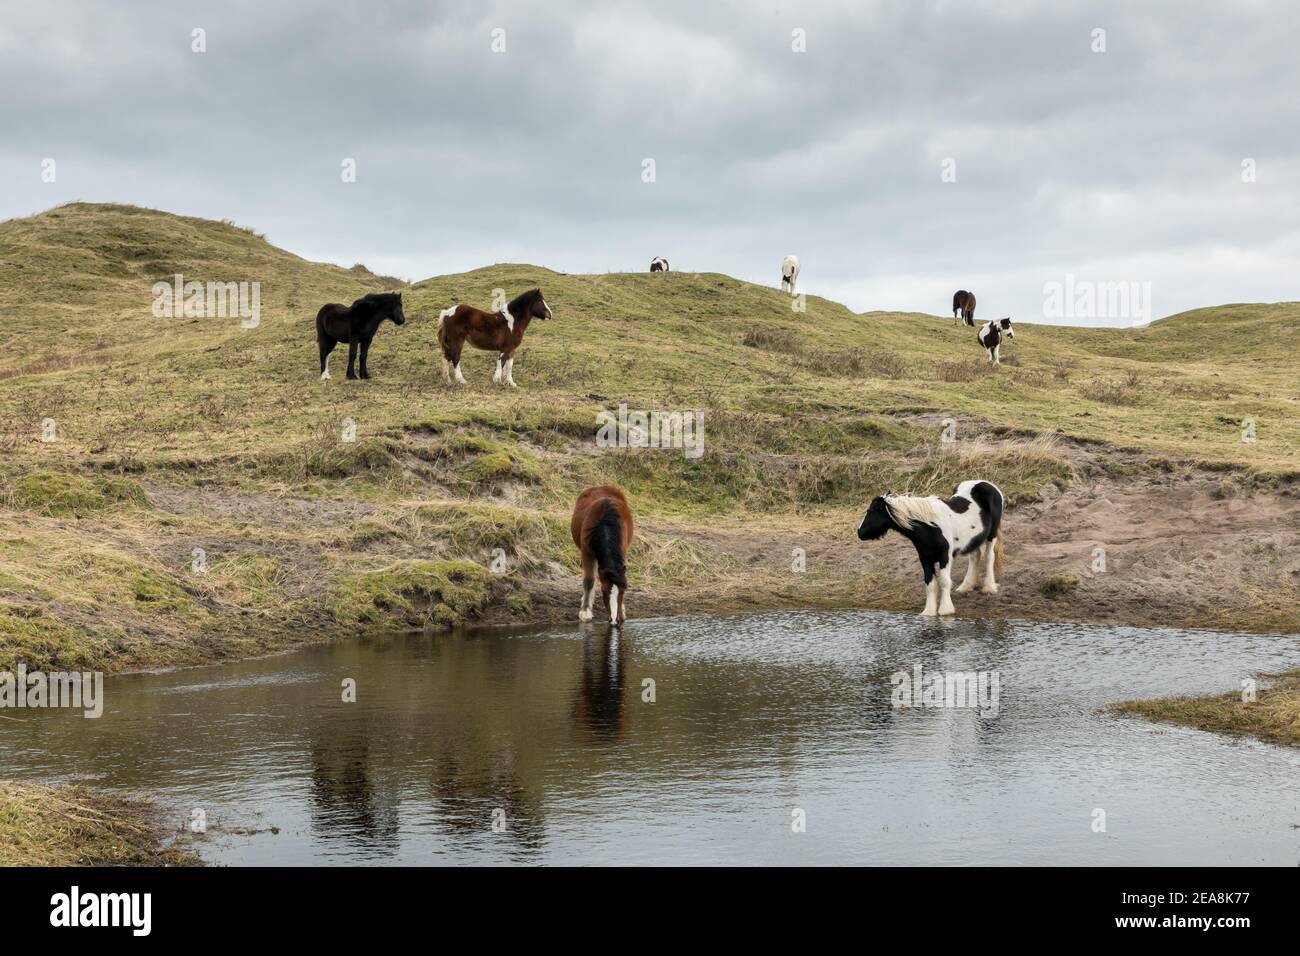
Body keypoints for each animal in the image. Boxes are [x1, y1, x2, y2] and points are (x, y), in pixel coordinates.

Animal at [569, 486, 634, 629]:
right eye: (604, 592)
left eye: (622, 592)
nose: (615, 621)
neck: (606, 524)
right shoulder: (587, 553)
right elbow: (589, 581)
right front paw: (585, 611)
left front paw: (623, 610)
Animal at [857, 478, 1008, 621]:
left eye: (871, 511)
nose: (859, 532)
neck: (930, 527)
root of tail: (989, 485)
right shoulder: (925, 559)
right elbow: (930, 584)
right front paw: (929, 612)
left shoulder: (944, 557)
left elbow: (944, 581)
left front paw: (946, 610)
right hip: (973, 540)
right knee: (975, 556)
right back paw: (966, 586)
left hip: (992, 534)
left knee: (989, 557)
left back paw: (989, 588)